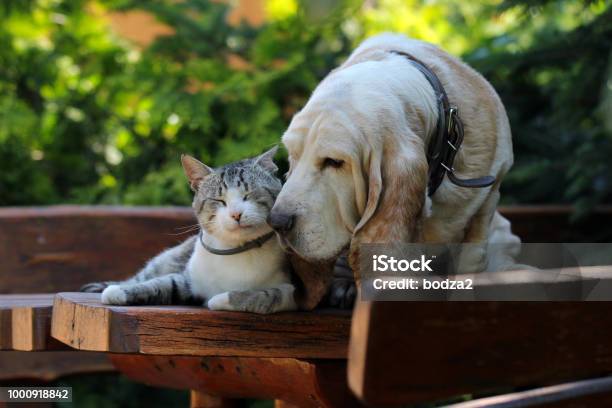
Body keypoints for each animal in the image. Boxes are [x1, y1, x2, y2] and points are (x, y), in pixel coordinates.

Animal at [82, 147, 298, 316]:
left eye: (249, 194)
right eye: (219, 200)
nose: (236, 214)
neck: (236, 251)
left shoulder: (293, 292)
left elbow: (265, 296)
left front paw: (219, 299)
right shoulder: (187, 280)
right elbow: (162, 283)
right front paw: (119, 292)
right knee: (142, 276)